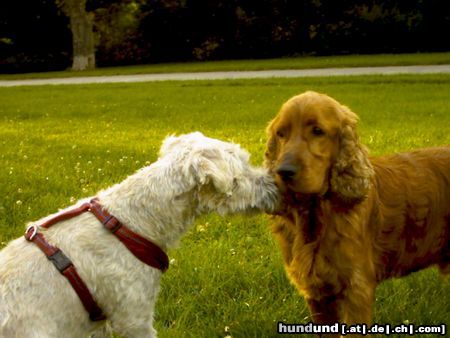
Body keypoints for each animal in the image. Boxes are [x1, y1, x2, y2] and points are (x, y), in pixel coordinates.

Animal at [266, 91, 448, 332]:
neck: (317, 213)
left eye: (317, 131)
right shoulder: (317, 294)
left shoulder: (357, 289)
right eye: (281, 133)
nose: (283, 172)